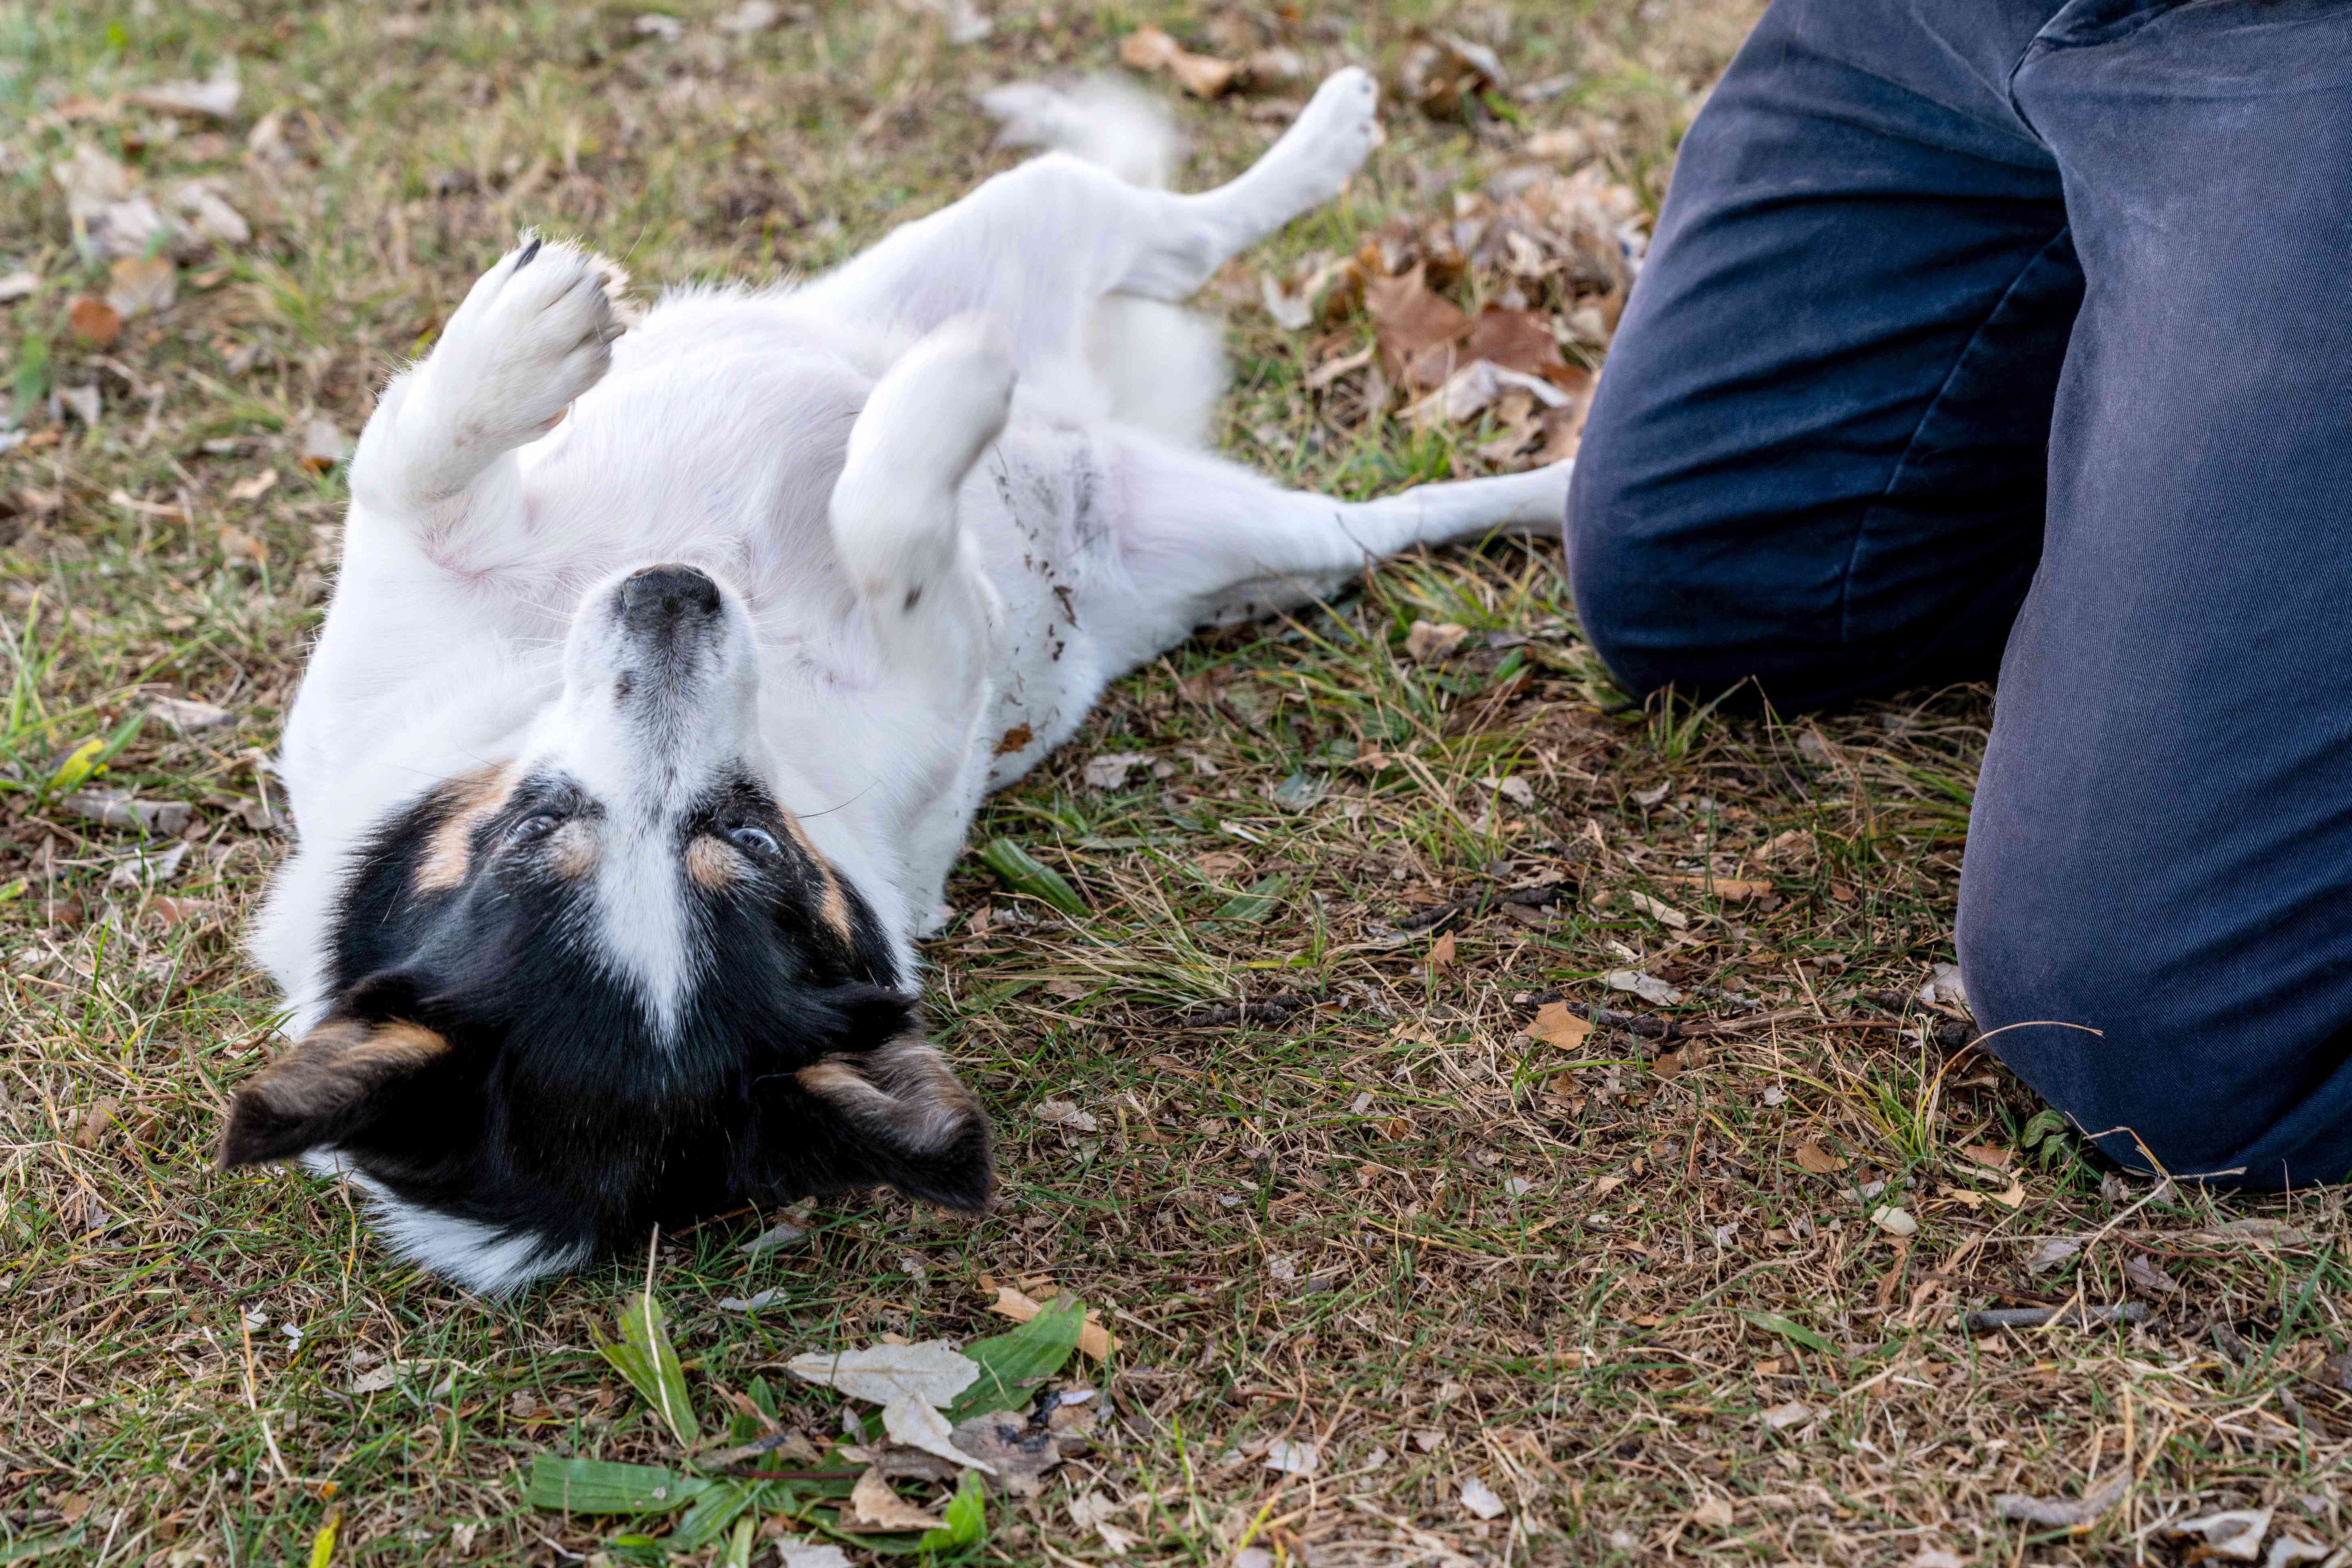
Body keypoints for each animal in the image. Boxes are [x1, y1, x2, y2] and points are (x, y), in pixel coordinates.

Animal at [229, 73, 1571, 1297]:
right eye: (537, 831)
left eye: (751, 843)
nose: (675, 596)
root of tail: (1088, 433)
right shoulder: (932, 671)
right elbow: (884, 527)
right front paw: (936, 413)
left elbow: (417, 456)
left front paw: (522, 339)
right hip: (1183, 454)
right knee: (1235, 338)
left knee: (1194, 267)